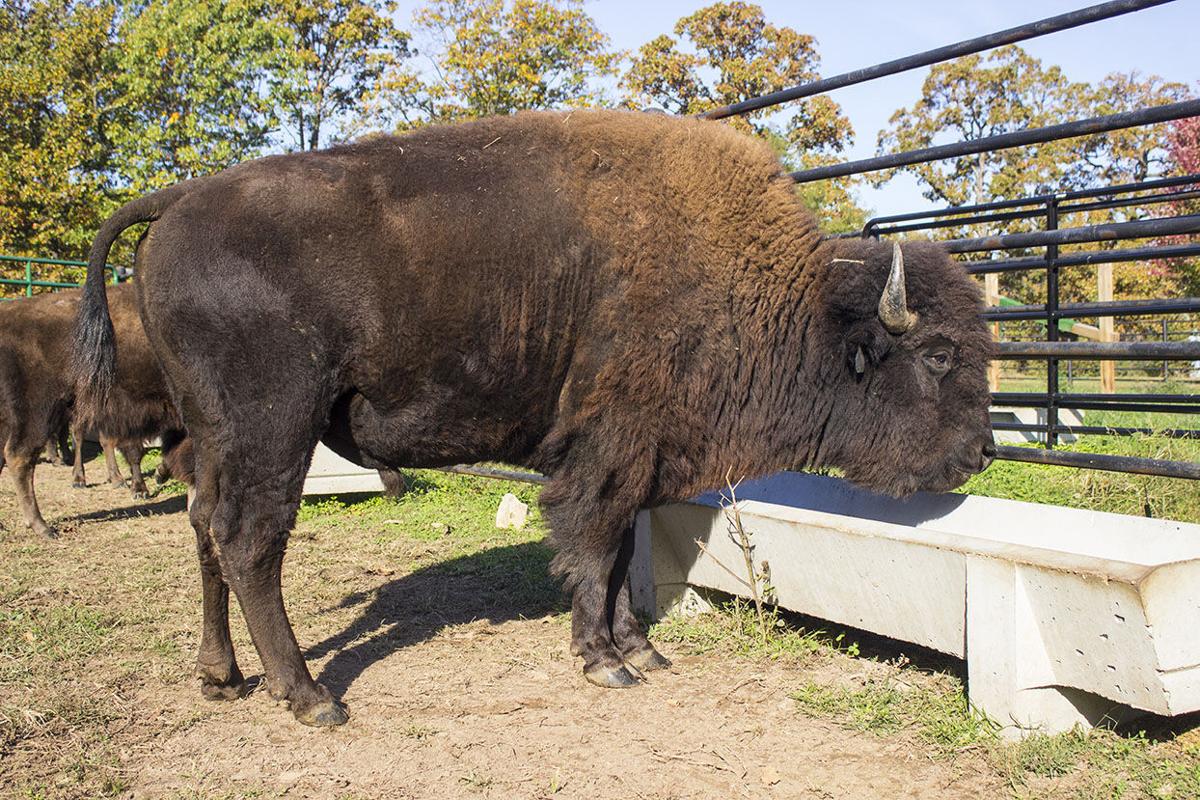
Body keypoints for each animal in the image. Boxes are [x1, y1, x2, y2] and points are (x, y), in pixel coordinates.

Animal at [75, 110, 994, 727]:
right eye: (938, 355)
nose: (981, 452)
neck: (788, 299)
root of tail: (177, 201)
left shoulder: (638, 461)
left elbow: (619, 556)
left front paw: (641, 648)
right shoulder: (607, 453)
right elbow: (591, 549)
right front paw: (605, 664)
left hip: (213, 436)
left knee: (204, 527)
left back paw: (220, 676)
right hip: (274, 429)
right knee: (249, 541)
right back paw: (309, 697)